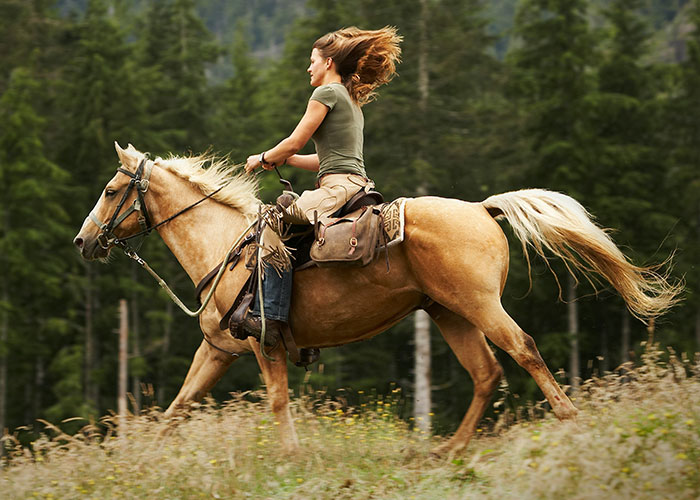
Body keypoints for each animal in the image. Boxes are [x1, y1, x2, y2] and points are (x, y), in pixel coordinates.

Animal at [73, 142, 681, 457]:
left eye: (110, 190)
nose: (83, 242)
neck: (227, 248)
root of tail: (482, 208)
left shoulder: (265, 345)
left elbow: (277, 402)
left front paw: (291, 458)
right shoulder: (219, 349)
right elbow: (178, 406)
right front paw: (143, 459)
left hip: (481, 306)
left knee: (524, 350)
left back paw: (570, 421)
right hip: (449, 314)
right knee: (486, 374)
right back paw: (447, 451)